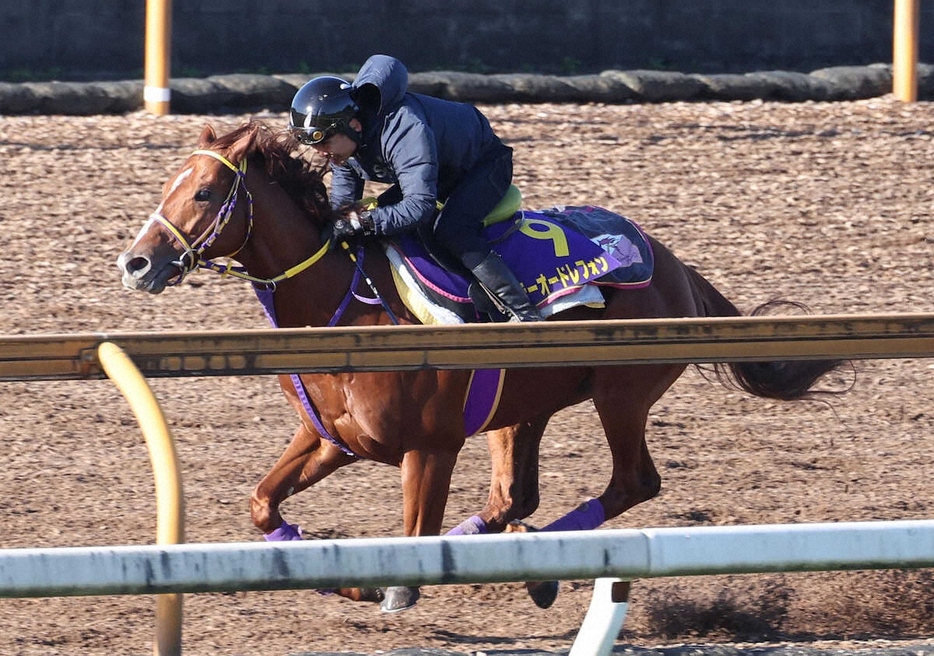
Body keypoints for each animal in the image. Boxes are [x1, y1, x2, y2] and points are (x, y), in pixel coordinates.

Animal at [117, 123, 848, 616]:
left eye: (204, 191)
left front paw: (396, 586)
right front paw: (351, 579)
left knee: (632, 482)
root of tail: (671, 262)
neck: (346, 308)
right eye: (168, 186)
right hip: (521, 408)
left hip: (621, 395)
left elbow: (414, 536)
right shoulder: (333, 438)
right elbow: (263, 503)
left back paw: (539, 570)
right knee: (512, 497)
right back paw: (516, 555)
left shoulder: (430, 446)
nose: (136, 262)